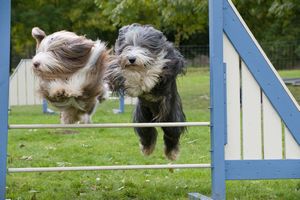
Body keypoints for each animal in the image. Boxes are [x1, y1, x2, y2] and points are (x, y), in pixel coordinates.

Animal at [108, 23, 186, 161]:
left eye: (144, 46)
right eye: (127, 46)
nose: (131, 59)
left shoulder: (172, 65)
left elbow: (157, 68)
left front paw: (146, 80)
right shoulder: (115, 70)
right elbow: (120, 73)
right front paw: (134, 82)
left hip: (172, 117)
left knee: (172, 134)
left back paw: (172, 154)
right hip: (142, 118)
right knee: (147, 133)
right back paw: (147, 149)